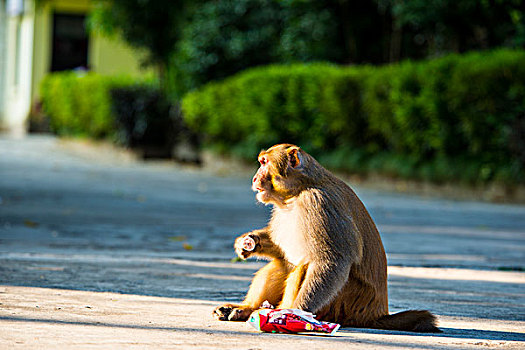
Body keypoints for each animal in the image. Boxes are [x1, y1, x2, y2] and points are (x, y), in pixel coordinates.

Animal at [213, 144, 438, 332]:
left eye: (264, 163)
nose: (254, 178)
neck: (298, 192)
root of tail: (375, 314)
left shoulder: (319, 203)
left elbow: (332, 262)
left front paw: (295, 312)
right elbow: (281, 248)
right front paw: (248, 242)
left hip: (347, 304)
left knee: (304, 266)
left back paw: (281, 314)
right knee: (285, 263)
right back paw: (247, 309)